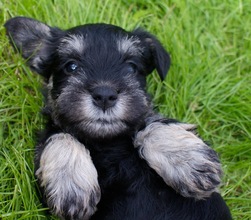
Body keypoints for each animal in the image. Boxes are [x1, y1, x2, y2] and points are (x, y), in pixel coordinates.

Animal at [4, 16, 231, 219]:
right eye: (71, 66)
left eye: (131, 67)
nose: (105, 95)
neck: (106, 142)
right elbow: (60, 136)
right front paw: (71, 185)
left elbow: (151, 122)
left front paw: (189, 160)